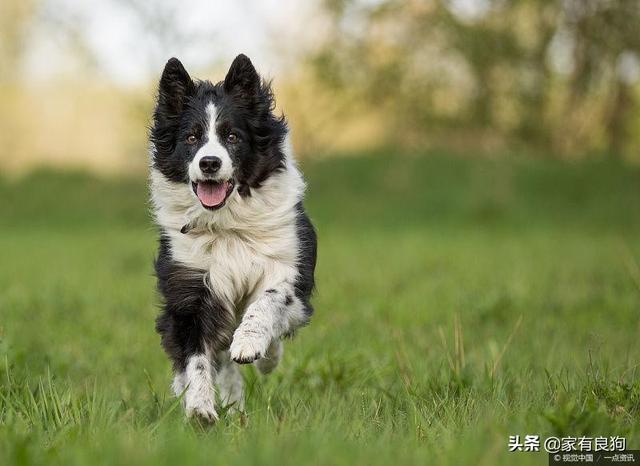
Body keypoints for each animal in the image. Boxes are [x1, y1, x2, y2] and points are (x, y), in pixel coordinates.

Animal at [151, 55, 320, 422]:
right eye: (191, 137)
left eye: (232, 136)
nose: (209, 163)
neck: (226, 223)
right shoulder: (191, 288)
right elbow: (196, 357)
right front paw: (200, 408)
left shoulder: (290, 269)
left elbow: (269, 300)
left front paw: (250, 344)